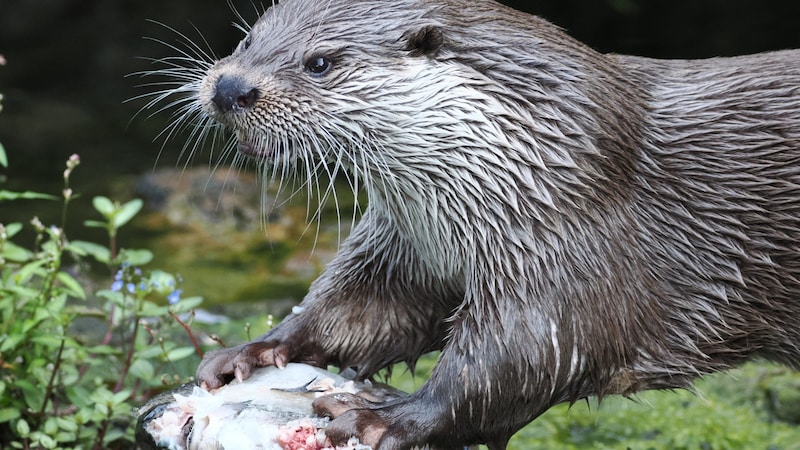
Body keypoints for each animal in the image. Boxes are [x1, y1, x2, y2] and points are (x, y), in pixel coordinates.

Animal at [166, 0, 800, 448]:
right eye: (247, 40)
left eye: (320, 63)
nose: (230, 87)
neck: (542, 157)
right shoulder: (408, 247)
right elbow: (360, 308)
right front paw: (258, 349)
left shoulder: (568, 242)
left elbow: (527, 354)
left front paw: (386, 416)